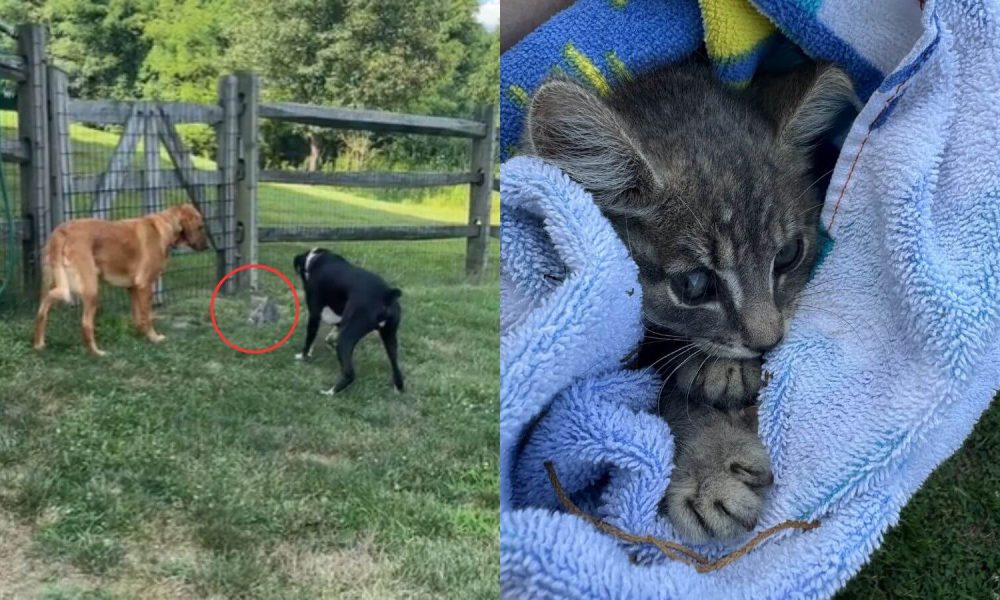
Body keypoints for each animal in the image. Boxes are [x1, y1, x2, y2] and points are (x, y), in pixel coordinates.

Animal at [32, 204, 209, 354]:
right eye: (200, 227)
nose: (207, 247)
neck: (166, 226)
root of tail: (62, 231)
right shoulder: (145, 285)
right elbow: (147, 316)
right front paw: (154, 338)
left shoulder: (133, 288)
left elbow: (138, 317)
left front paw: (142, 336)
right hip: (90, 289)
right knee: (85, 323)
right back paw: (96, 352)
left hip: (57, 284)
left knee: (42, 309)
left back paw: (39, 344)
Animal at [294, 247, 404, 394]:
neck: (317, 259)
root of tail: (386, 295)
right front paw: (327, 342)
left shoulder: (314, 315)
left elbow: (309, 338)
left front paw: (303, 356)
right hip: (390, 338)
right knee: (396, 368)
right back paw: (398, 389)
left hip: (347, 338)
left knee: (349, 373)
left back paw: (330, 392)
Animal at [528, 61, 856, 544]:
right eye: (695, 284)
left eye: (789, 254)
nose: (768, 340)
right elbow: (644, 408)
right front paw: (709, 468)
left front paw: (719, 370)